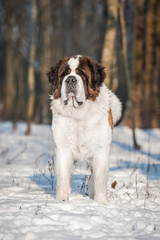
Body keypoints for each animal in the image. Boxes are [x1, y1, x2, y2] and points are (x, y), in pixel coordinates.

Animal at [47, 54, 121, 204]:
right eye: (64, 74)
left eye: (81, 74)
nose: (70, 79)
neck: (78, 114)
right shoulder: (63, 149)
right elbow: (63, 179)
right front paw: (61, 202)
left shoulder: (100, 150)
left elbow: (99, 180)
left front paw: (101, 203)